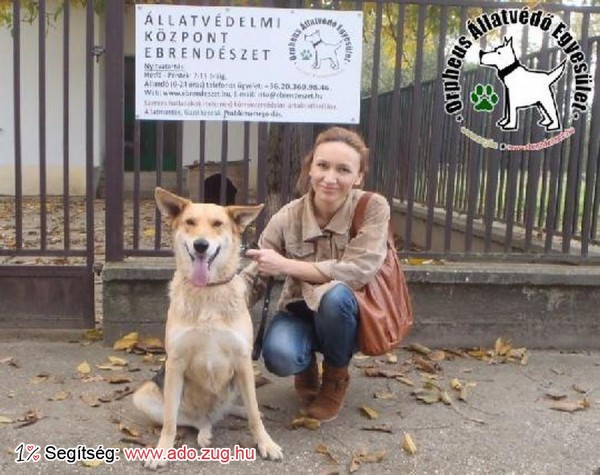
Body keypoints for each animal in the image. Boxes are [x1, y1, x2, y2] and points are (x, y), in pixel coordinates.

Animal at [132, 187, 282, 468]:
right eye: (190, 222)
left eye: (217, 224)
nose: (201, 245)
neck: (208, 291)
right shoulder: (175, 363)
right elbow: (170, 422)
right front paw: (162, 450)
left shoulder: (243, 361)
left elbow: (255, 414)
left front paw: (265, 443)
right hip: (144, 395)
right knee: (195, 419)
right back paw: (204, 431)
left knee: (236, 409)